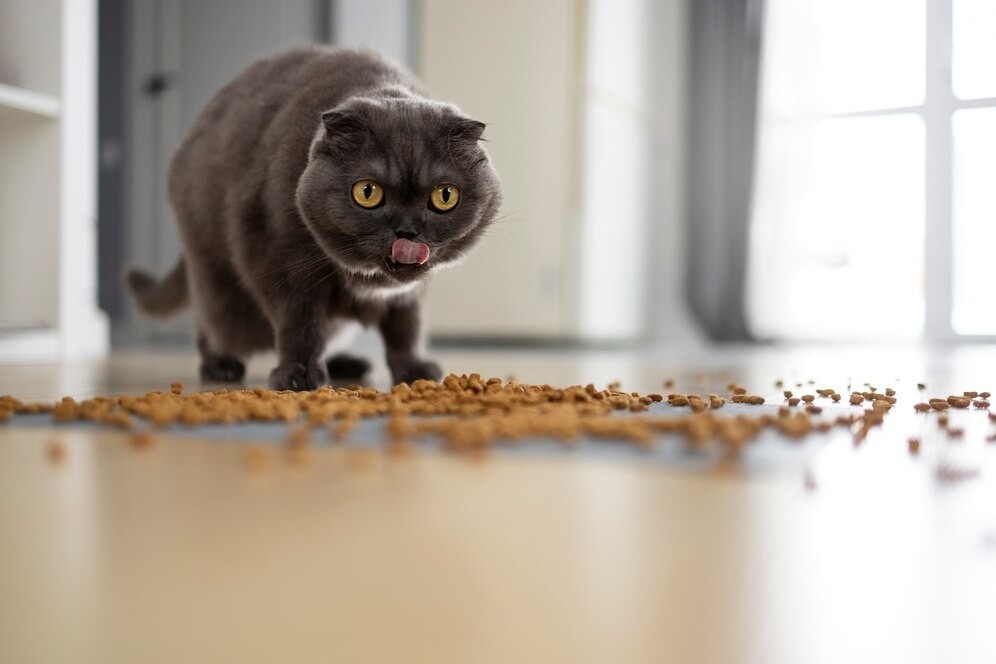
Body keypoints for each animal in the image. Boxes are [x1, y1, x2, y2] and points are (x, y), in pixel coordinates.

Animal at [124, 48, 502, 390]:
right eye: (368, 192)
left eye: (444, 196)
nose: (407, 231)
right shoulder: (280, 259)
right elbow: (300, 322)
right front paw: (298, 376)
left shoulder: (411, 292)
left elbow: (405, 325)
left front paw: (415, 371)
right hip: (218, 284)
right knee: (210, 321)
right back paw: (220, 365)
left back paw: (347, 364)